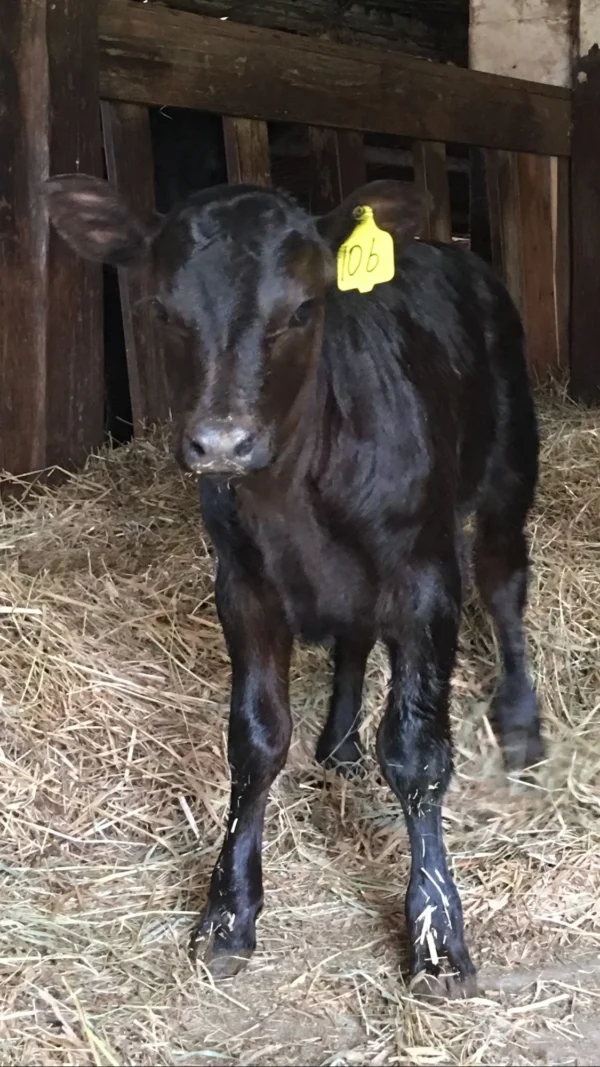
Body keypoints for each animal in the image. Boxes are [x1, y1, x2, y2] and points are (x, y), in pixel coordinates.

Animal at [44, 173, 542, 999]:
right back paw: (337, 742)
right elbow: (254, 741)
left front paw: (437, 935)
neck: (296, 501)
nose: (221, 441)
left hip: (508, 470)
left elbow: (416, 750)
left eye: (304, 308)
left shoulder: (425, 576)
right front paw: (228, 913)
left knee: (505, 584)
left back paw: (522, 722)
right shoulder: (243, 585)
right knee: (354, 634)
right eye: (162, 310)